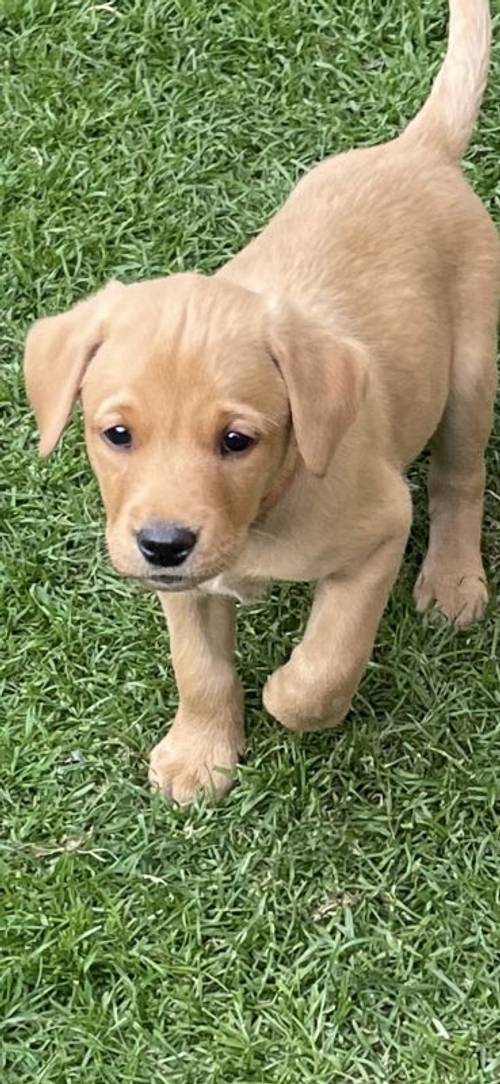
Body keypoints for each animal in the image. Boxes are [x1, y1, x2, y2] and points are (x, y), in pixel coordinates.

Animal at [25, 2, 496, 806]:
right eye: (116, 434)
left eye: (237, 441)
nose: (163, 543)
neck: (264, 511)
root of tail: (419, 152)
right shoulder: (181, 585)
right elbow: (199, 668)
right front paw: (200, 752)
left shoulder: (380, 528)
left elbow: (328, 663)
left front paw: (284, 695)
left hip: (469, 377)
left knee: (458, 480)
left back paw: (455, 581)